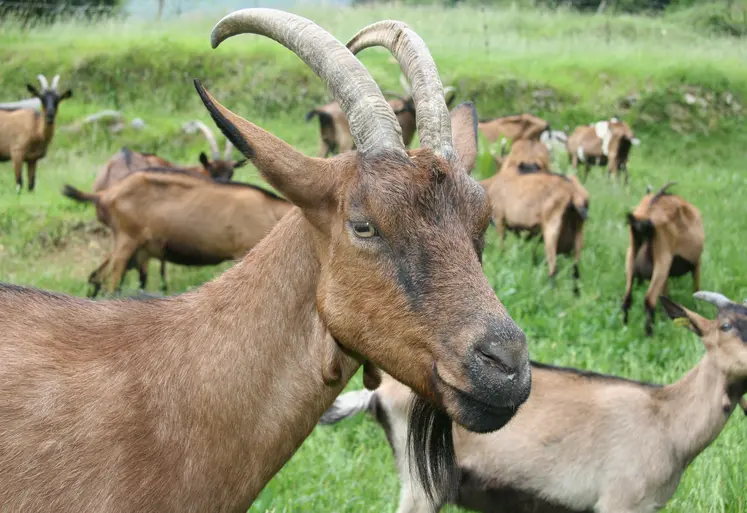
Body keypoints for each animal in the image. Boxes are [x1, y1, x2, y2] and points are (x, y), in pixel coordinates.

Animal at [624, 181, 704, 336]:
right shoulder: (696, 263)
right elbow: (696, 289)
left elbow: (665, 293)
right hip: (662, 259)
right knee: (649, 299)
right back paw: (649, 334)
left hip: (631, 254)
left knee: (627, 297)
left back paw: (624, 324)